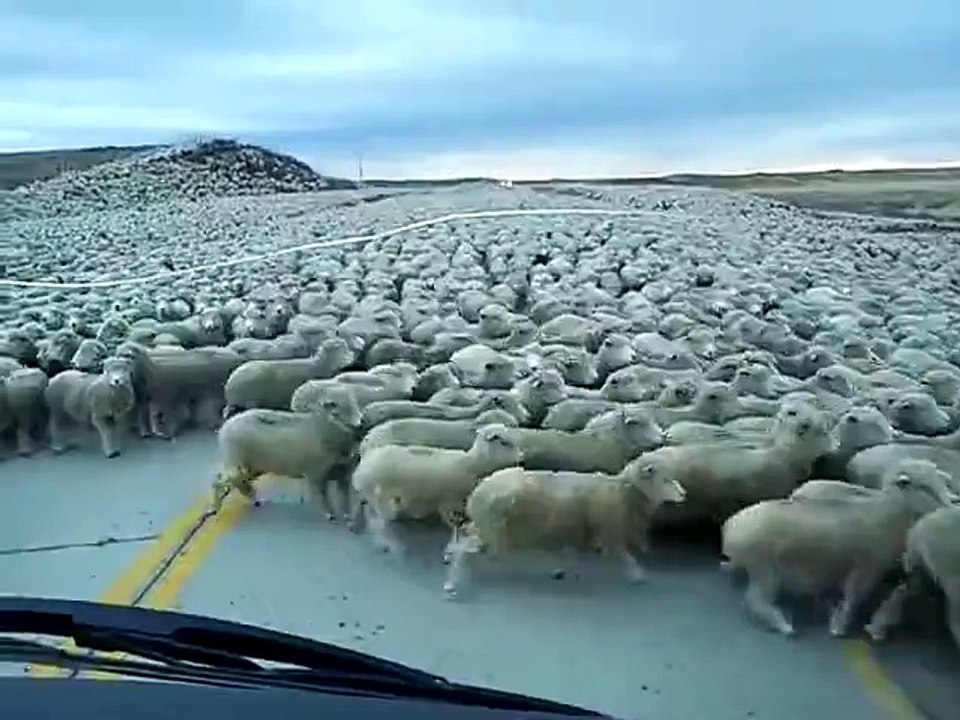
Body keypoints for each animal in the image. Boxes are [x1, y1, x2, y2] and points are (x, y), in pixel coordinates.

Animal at [213, 384, 363, 520]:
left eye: (354, 402)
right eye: (334, 406)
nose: (360, 423)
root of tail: (227, 424)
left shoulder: (343, 473)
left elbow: (344, 497)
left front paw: (347, 515)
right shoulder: (316, 474)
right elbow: (323, 497)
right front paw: (330, 514)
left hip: (252, 467)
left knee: (234, 481)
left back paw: (254, 500)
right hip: (237, 462)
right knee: (219, 481)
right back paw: (216, 507)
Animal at [350, 423, 525, 553]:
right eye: (504, 442)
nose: (521, 458)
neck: (472, 463)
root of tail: (360, 470)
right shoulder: (450, 500)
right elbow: (451, 519)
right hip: (379, 496)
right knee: (381, 514)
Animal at [443, 452, 686, 599]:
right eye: (665, 479)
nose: (684, 494)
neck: (623, 491)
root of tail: (480, 489)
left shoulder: (573, 530)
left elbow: (570, 553)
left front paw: (561, 571)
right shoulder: (610, 534)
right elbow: (626, 557)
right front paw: (638, 576)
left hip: (487, 527)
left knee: (463, 536)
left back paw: (449, 557)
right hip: (495, 533)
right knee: (465, 550)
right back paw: (452, 583)